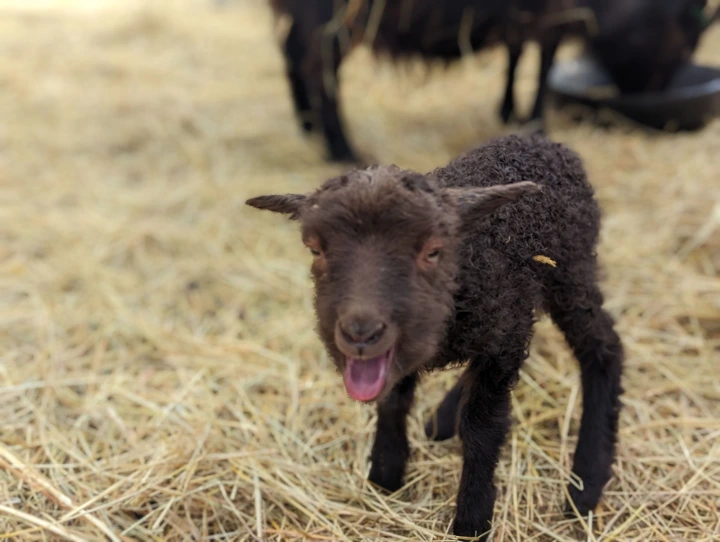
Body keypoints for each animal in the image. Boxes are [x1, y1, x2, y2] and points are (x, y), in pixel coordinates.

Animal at [245, 133, 624, 538]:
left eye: (432, 251)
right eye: (315, 249)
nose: (360, 333)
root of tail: (544, 141)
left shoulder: (504, 333)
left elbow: (482, 426)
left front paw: (472, 519)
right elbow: (393, 401)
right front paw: (385, 473)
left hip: (570, 271)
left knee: (604, 347)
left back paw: (586, 482)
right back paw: (444, 417)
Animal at [269, 0, 717, 163]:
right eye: (685, 39)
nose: (652, 93)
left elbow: (517, 52)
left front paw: (508, 111)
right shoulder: (554, 11)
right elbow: (544, 57)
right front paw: (535, 121)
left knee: (293, 54)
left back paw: (308, 126)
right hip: (329, 14)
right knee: (318, 66)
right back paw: (341, 148)